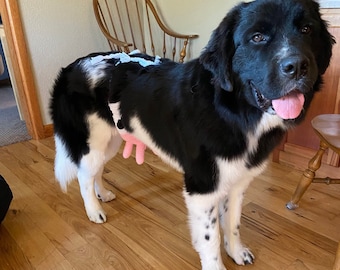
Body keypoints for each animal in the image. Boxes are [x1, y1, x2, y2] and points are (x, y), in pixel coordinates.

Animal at [50, 0, 334, 268]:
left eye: (307, 30)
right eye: (257, 37)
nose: (297, 66)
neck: (233, 112)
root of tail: (71, 66)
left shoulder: (237, 182)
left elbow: (233, 223)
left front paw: (236, 252)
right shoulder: (203, 189)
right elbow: (211, 239)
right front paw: (217, 265)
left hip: (110, 140)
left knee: (94, 172)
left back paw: (103, 195)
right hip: (92, 142)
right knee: (84, 176)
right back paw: (94, 211)